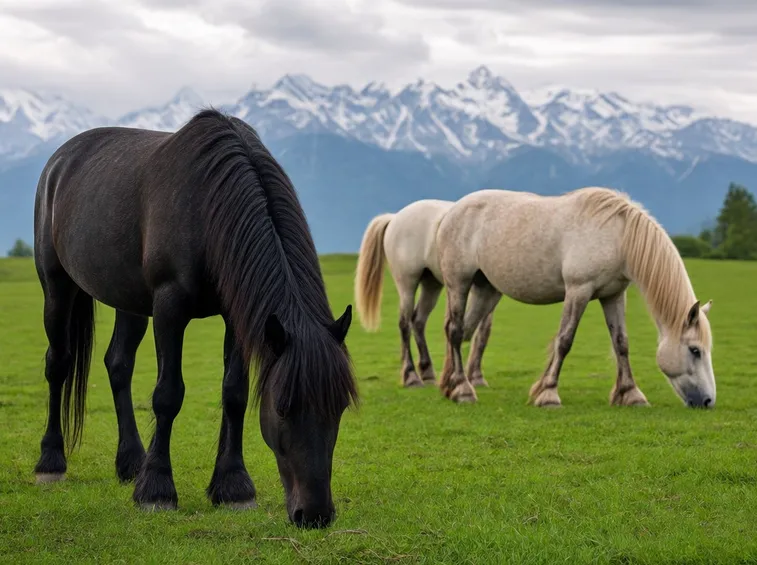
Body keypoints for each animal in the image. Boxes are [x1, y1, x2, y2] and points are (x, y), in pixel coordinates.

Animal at [32, 108, 358, 529]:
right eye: (283, 408)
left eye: (340, 407)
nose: (315, 514)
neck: (208, 207)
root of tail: (59, 161)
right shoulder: (169, 308)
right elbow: (168, 394)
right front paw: (157, 490)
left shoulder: (238, 316)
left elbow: (234, 393)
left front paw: (233, 486)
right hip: (56, 286)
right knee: (58, 364)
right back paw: (51, 462)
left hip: (129, 301)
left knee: (118, 364)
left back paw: (131, 462)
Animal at [354, 199, 495, 389]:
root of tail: (395, 218)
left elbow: (482, 332)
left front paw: (476, 377)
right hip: (407, 285)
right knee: (405, 324)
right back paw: (412, 377)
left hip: (431, 285)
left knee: (418, 321)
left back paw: (427, 372)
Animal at [435, 186, 716, 408]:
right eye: (695, 350)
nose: (708, 401)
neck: (618, 236)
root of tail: (452, 212)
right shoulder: (578, 290)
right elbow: (564, 340)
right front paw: (548, 394)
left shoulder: (613, 295)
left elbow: (621, 343)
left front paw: (631, 394)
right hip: (459, 284)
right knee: (456, 331)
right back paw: (463, 390)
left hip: (486, 291)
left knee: (463, 330)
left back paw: (450, 385)